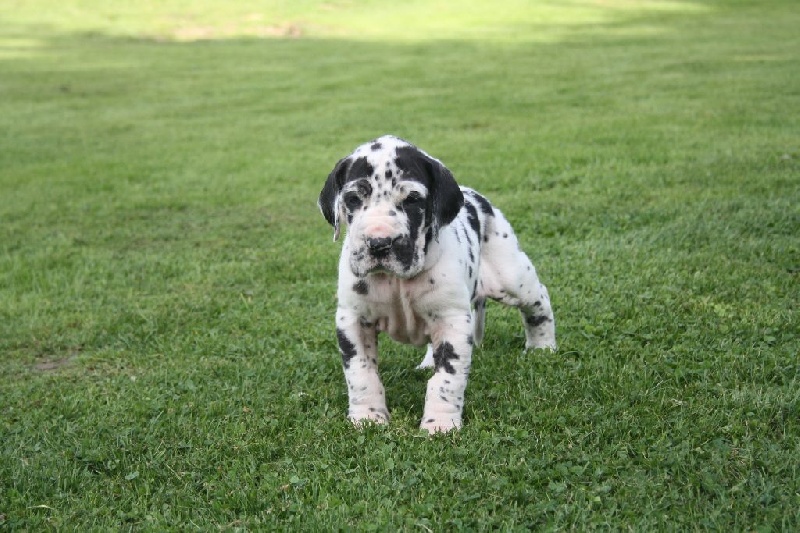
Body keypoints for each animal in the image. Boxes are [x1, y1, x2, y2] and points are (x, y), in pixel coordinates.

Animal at [318, 135, 556, 433]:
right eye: (352, 198)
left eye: (412, 200)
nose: (379, 243)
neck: (397, 281)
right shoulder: (353, 320)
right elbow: (362, 373)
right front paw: (368, 417)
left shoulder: (452, 320)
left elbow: (447, 378)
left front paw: (440, 424)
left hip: (511, 277)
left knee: (538, 301)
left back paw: (542, 347)